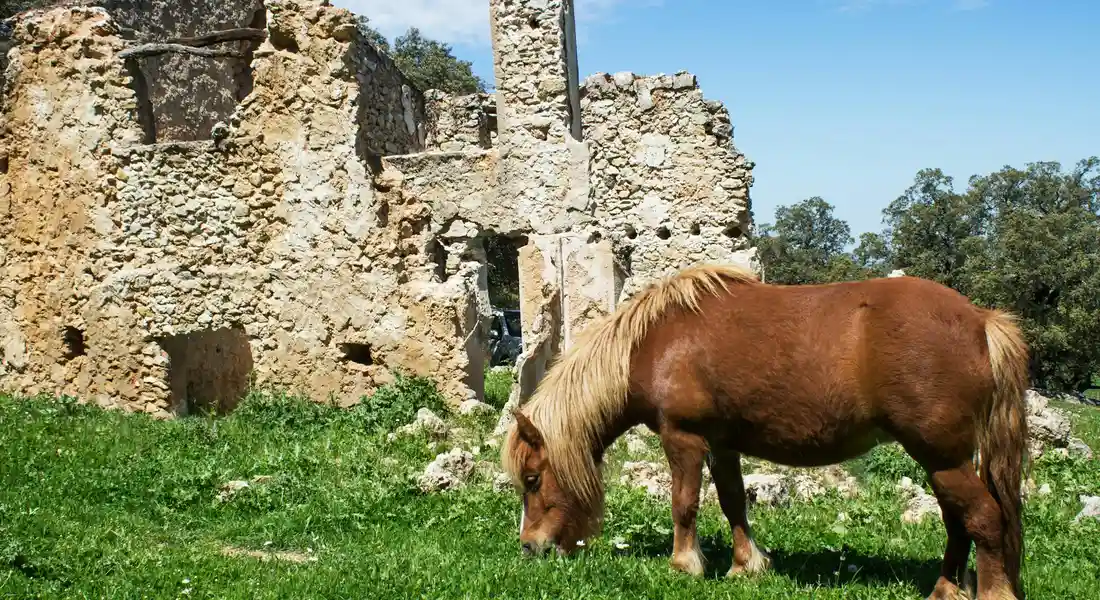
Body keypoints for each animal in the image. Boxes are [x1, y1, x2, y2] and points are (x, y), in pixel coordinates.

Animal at [501, 263, 1030, 600]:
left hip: (942, 458)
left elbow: (684, 503)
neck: (652, 344)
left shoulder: (683, 439)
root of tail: (980, 321)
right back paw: (945, 589)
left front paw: (685, 565)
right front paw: (745, 566)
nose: (529, 547)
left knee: (984, 518)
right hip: (942, 462)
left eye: (532, 480)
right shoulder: (722, 445)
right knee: (959, 522)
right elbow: (733, 502)